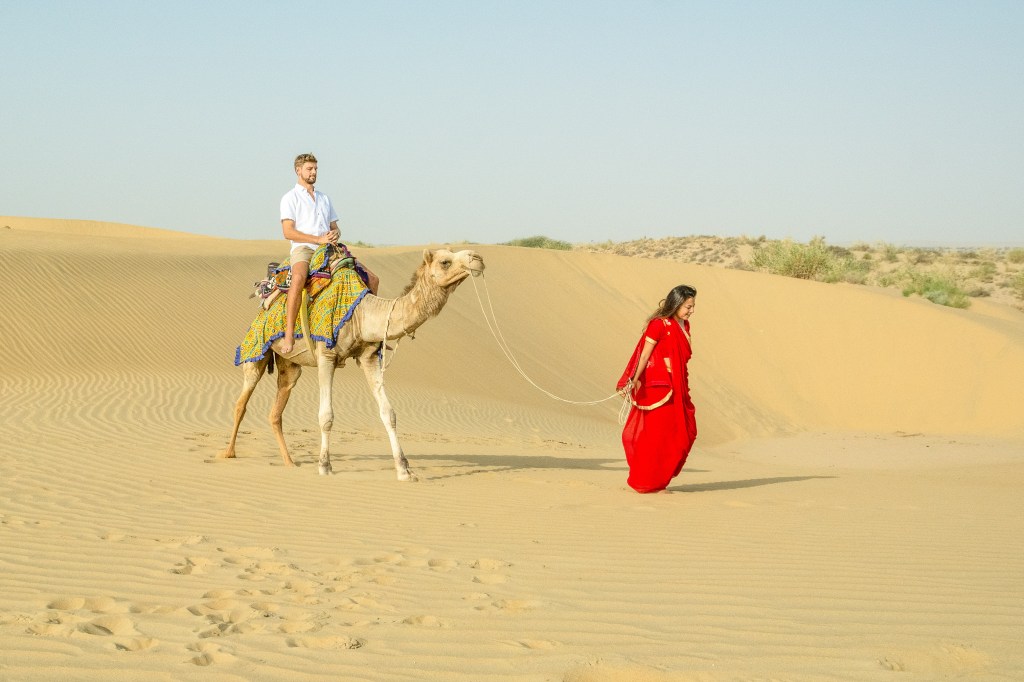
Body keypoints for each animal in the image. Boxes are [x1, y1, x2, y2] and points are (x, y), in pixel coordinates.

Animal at [220, 248, 485, 479]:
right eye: (445, 261)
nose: (478, 258)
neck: (362, 314)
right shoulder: (326, 355)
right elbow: (326, 416)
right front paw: (325, 466)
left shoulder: (369, 357)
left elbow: (389, 413)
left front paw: (404, 470)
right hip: (255, 350)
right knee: (241, 402)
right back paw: (228, 453)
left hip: (289, 366)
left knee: (276, 411)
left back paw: (289, 462)